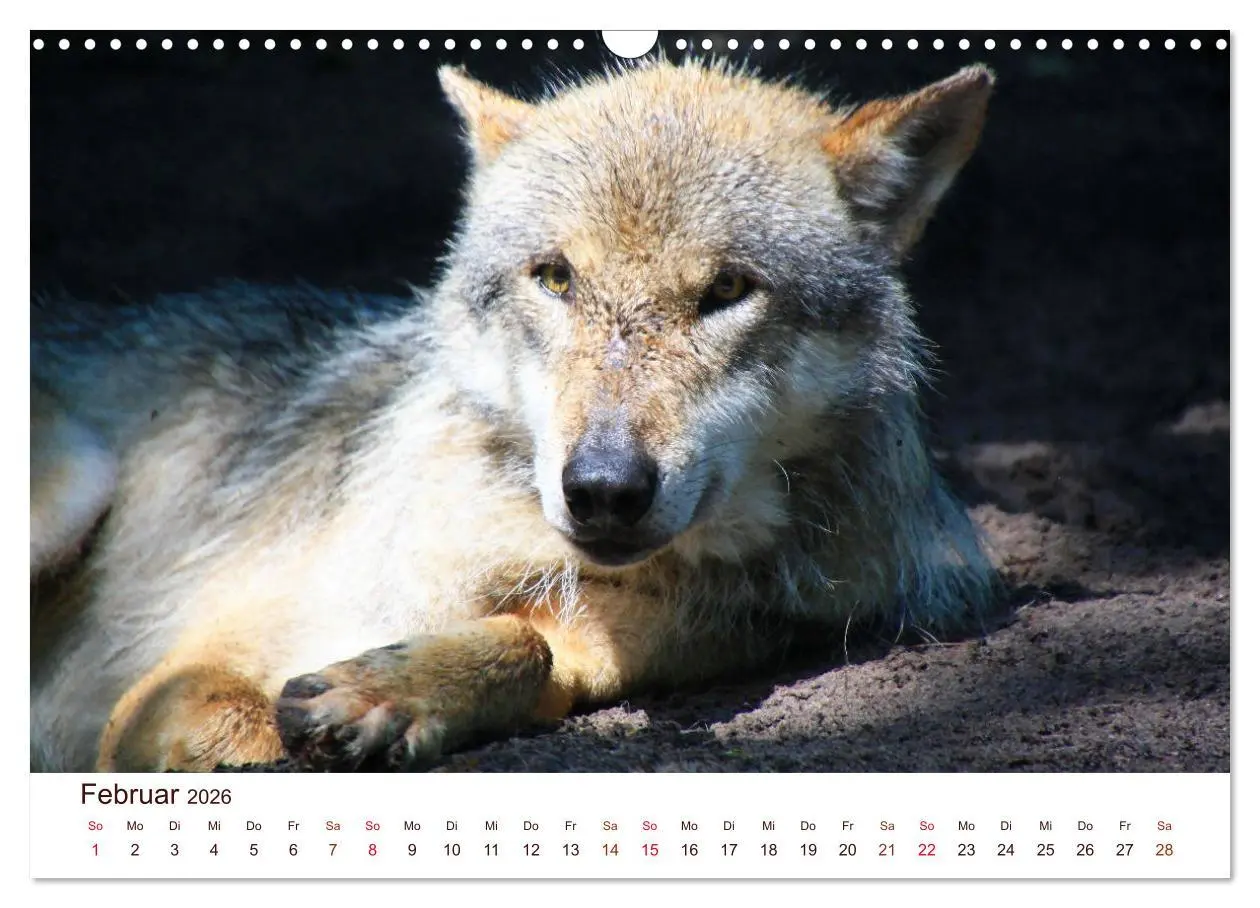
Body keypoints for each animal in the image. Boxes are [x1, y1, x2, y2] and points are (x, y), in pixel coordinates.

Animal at [31, 59, 999, 772]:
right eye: (557, 278)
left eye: (727, 290)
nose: (604, 488)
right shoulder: (175, 680)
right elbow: (241, 726)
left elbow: (530, 649)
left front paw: (390, 694)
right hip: (76, 487)